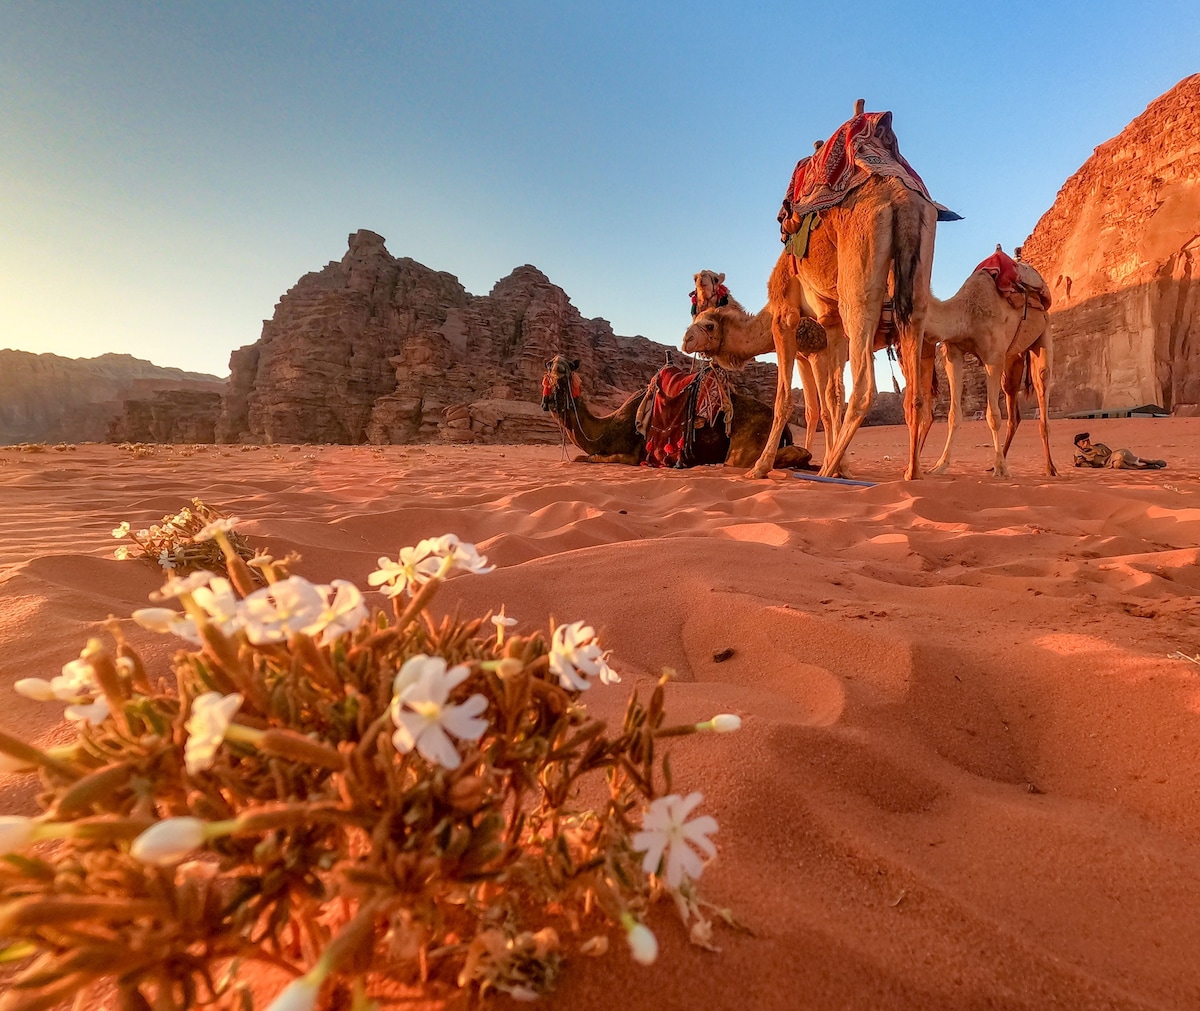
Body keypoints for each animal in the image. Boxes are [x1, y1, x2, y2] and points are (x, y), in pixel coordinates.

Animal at [544, 355, 816, 468]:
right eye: (549, 366)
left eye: (564, 369)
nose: (548, 398)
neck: (607, 428)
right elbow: (582, 457)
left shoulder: (632, 454)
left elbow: (592, 458)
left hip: (747, 443)